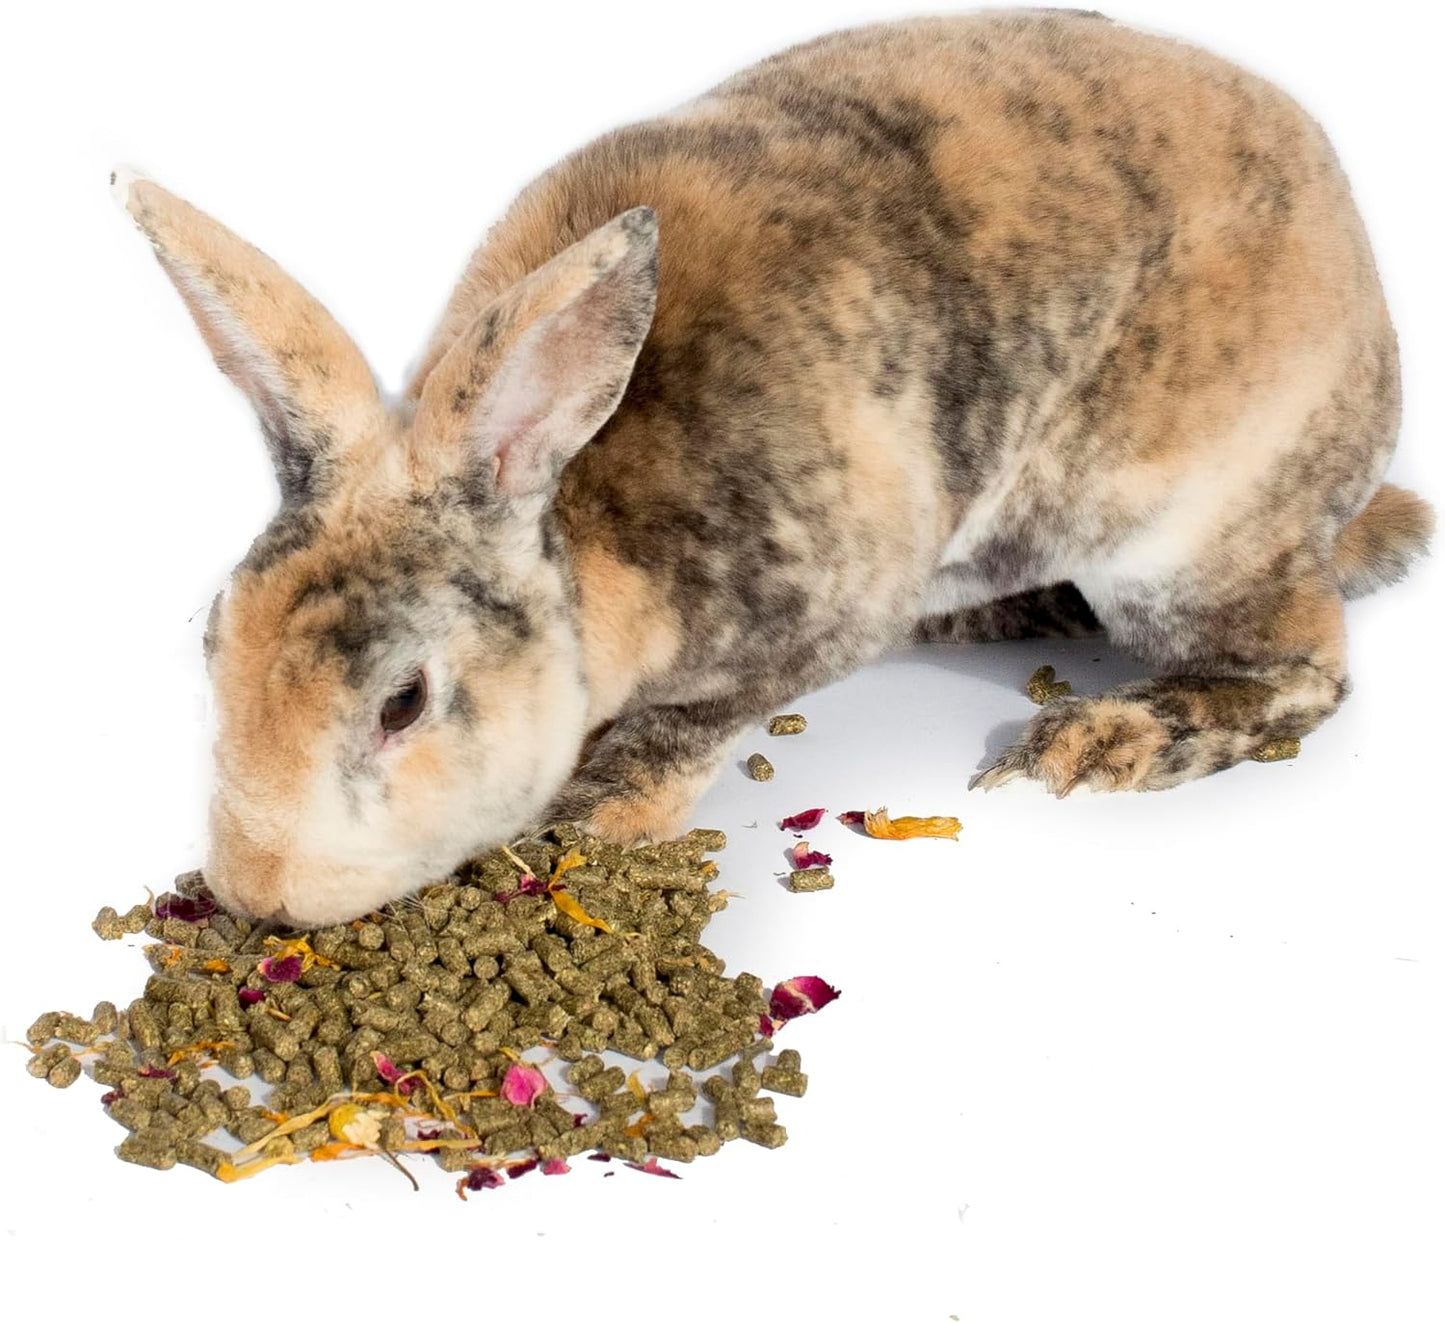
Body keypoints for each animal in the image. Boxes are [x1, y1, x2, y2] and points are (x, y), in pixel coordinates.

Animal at [113, 9, 1432, 926]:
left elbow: (688, 725)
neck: (584, 511)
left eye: (403, 702)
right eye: (210, 639)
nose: (259, 895)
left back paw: (1108, 738)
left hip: (1189, 539)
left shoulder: (818, 616)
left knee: (1303, 667)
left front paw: (597, 819)